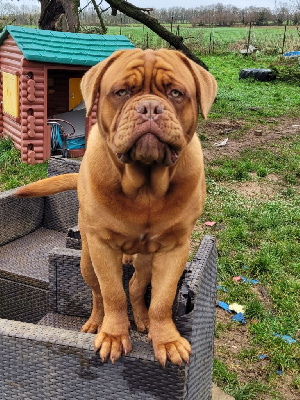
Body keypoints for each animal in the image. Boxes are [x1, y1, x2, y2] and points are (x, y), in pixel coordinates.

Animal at [15, 49, 217, 366]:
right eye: (121, 92)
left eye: (176, 93)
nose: (149, 107)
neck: (145, 186)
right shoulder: (102, 246)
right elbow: (112, 294)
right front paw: (112, 336)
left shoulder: (174, 248)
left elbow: (162, 299)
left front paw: (167, 340)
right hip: (87, 259)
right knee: (98, 294)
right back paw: (96, 322)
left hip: (146, 259)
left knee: (136, 286)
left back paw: (143, 320)